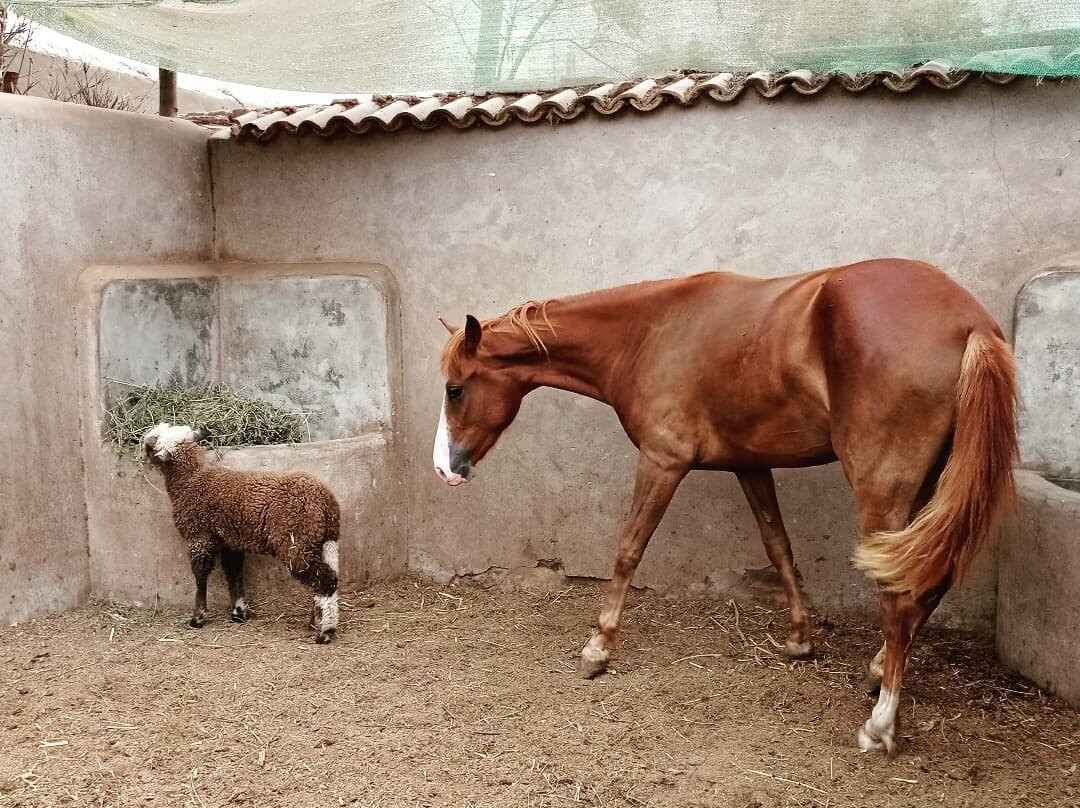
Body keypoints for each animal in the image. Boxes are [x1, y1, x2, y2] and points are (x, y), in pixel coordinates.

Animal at [433, 258, 1017, 754]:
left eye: (455, 389)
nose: (444, 470)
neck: (650, 333)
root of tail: (969, 324)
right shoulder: (749, 466)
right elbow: (778, 546)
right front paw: (799, 640)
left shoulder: (663, 462)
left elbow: (628, 549)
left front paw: (598, 648)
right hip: (934, 492)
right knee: (928, 582)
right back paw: (876, 674)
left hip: (882, 488)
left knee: (900, 595)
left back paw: (880, 724)